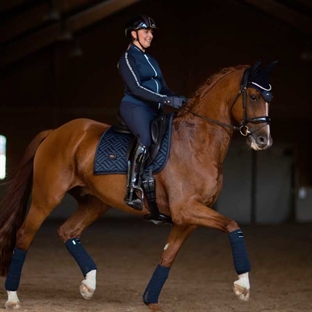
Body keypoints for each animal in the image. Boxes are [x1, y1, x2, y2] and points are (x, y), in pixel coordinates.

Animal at [0, 59, 278, 310]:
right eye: (254, 96)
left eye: (269, 98)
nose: (264, 140)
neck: (196, 143)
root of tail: (55, 132)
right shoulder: (186, 210)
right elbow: (233, 226)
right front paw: (243, 286)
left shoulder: (186, 219)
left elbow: (168, 255)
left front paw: (150, 301)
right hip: (47, 198)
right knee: (24, 236)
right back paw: (13, 297)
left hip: (95, 203)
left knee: (68, 231)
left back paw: (89, 284)